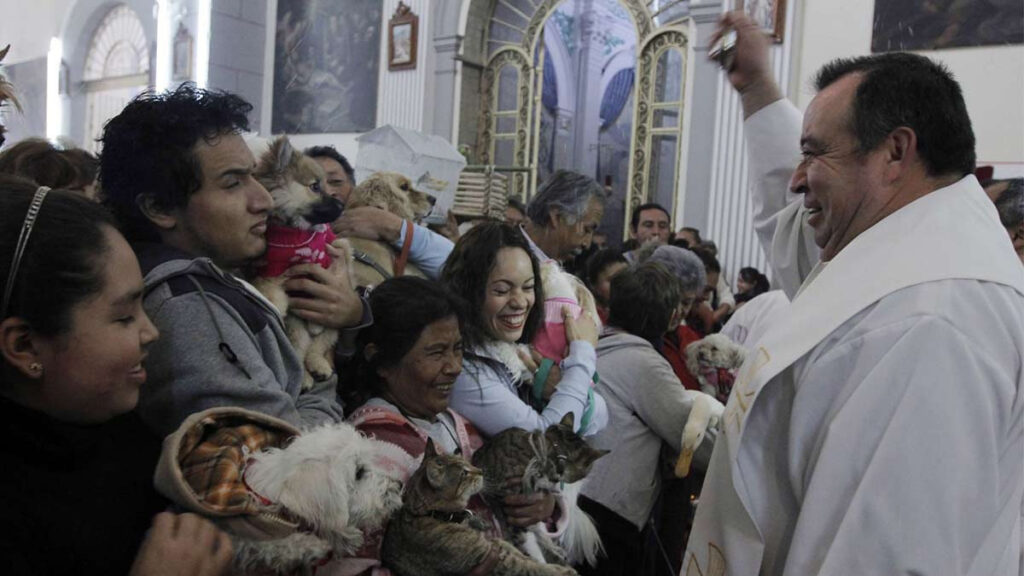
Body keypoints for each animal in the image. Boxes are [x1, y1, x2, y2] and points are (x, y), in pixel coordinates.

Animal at [251, 134, 356, 385]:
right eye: (315, 187)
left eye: (328, 184)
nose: (341, 205)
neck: (295, 234)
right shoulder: (271, 268)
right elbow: (268, 287)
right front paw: (275, 304)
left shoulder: (336, 249)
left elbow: (337, 268)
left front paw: (316, 323)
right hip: (296, 328)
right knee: (299, 354)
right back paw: (307, 378)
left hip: (333, 328)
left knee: (317, 347)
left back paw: (318, 365)